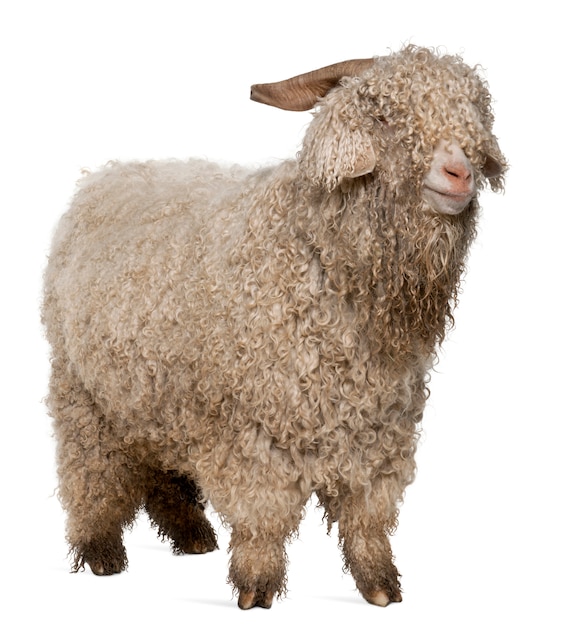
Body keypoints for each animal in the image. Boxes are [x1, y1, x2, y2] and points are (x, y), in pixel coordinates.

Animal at [43, 46, 506, 608]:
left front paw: (378, 582)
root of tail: (104, 177)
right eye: (382, 116)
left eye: (473, 114)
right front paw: (256, 586)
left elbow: (368, 511)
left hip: (156, 394)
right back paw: (101, 551)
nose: (459, 173)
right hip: (83, 393)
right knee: (89, 471)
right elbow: (262, 515)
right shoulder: (253, 428)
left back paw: (191, 535)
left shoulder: (378, 427)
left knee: (162, 466)